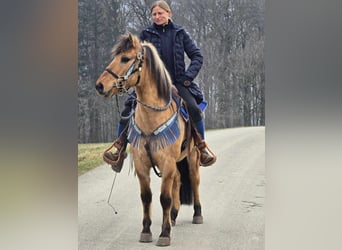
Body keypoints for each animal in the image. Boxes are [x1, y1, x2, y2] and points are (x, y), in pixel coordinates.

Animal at [95, 33, 203, 246]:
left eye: (125, 58)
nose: (100, 85)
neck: (152, 118)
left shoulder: (167, 162)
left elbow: (164, 198)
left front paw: (164, 234)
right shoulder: (142, 163)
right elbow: (146, 197)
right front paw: (146, 231)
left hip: (192, 157)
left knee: (194, 180)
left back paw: (197, 214)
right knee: (178, 180)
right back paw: (174, 215)